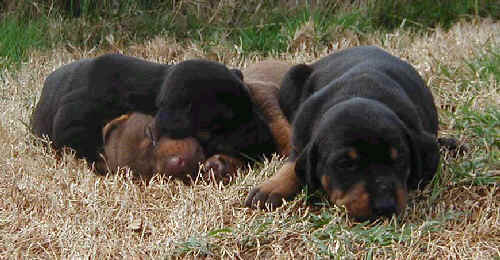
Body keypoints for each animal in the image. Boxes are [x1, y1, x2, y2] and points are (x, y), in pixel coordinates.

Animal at [246, 46, 442, 219]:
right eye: (345, 164)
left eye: (400, 159)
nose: (385, 206)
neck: (359, 93)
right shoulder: (300, 134)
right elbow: (293, 164)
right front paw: (272, 187)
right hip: (291, 77)